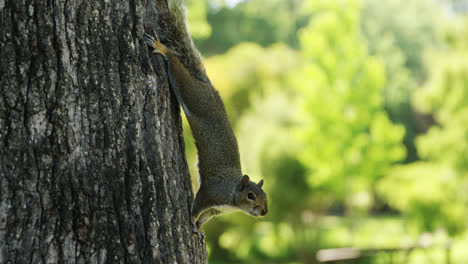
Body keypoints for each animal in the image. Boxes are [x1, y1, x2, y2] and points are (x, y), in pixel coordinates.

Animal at [144, 0, 268, 233]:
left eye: (265, 196)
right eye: (250, 195)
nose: (265, 211)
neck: (231, 194)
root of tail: (207, 86)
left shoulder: (216, 210)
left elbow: (205, 217)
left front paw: (199, 228)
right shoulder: (210, 193)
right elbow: (196, 207)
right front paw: (192, 220)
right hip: (191, 93)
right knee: (176, 66)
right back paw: (163, 49)